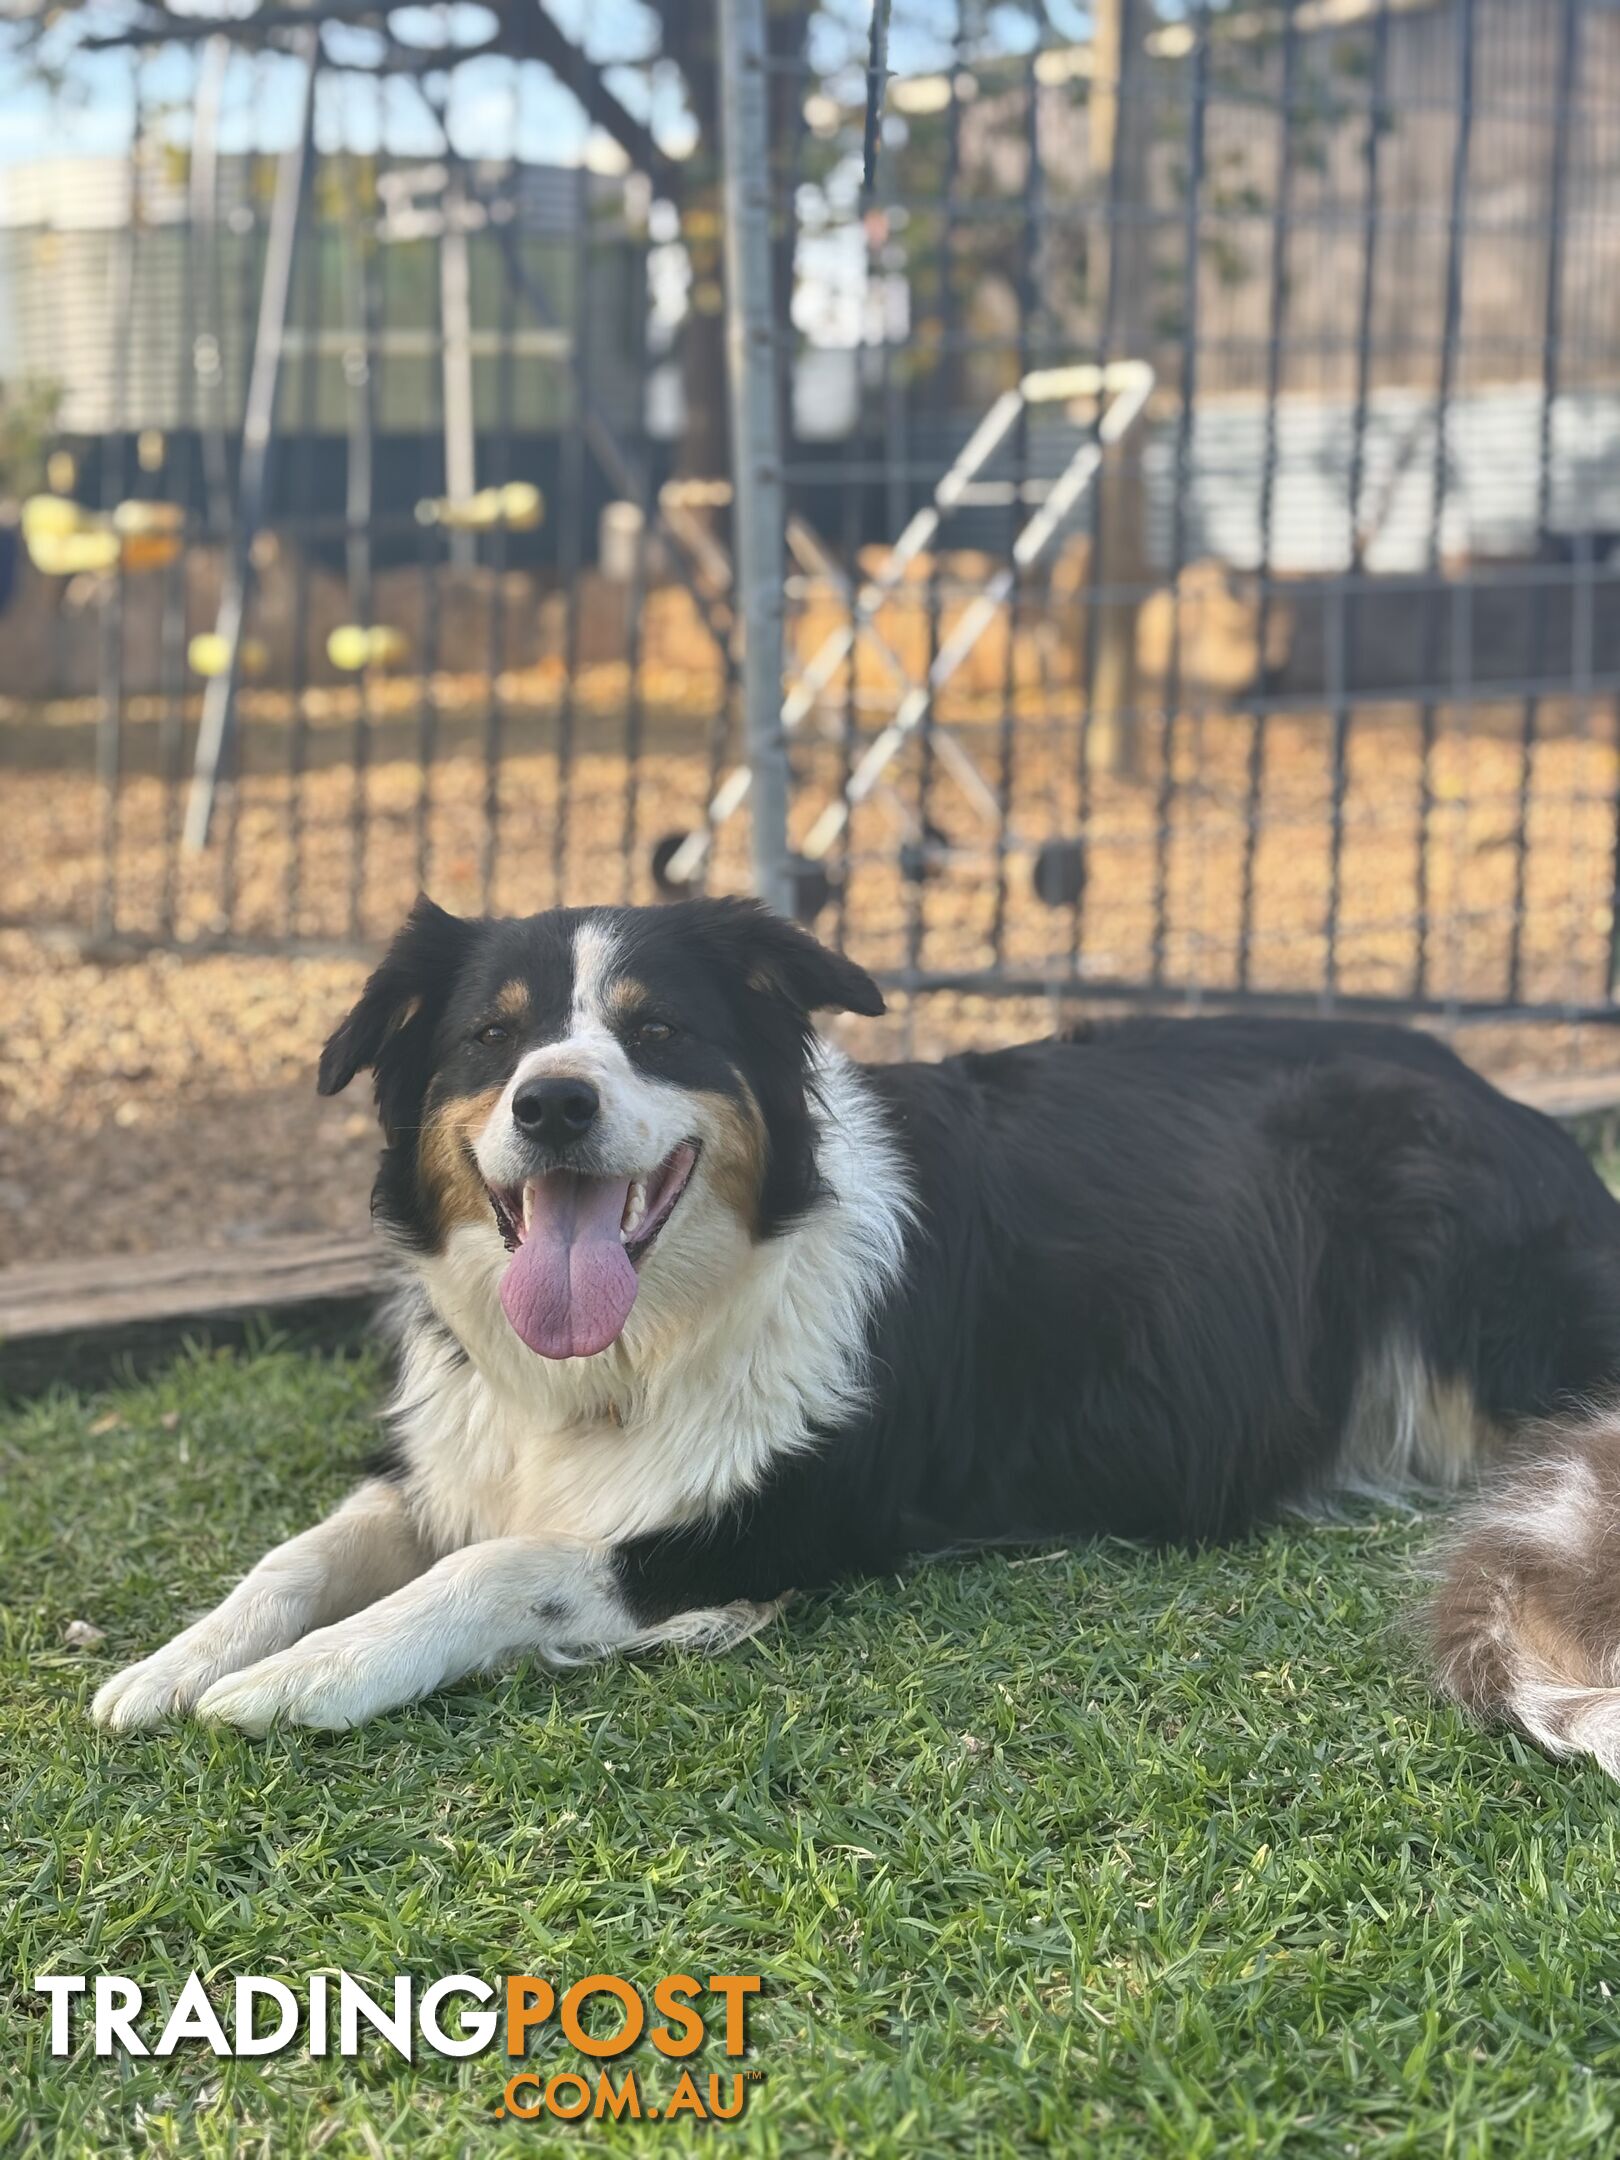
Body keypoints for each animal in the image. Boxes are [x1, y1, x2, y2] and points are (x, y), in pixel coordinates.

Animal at [91, 894, 1620, 1771]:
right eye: (489, 1037)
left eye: (656, 1030)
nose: (554, 1104)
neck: (633, 1354)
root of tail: (1512, 1106)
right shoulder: (452, 1454)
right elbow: (301, 1553)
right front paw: (175, 1665)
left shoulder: (761, 1526)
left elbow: (492, 1571)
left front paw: (304, 1680)